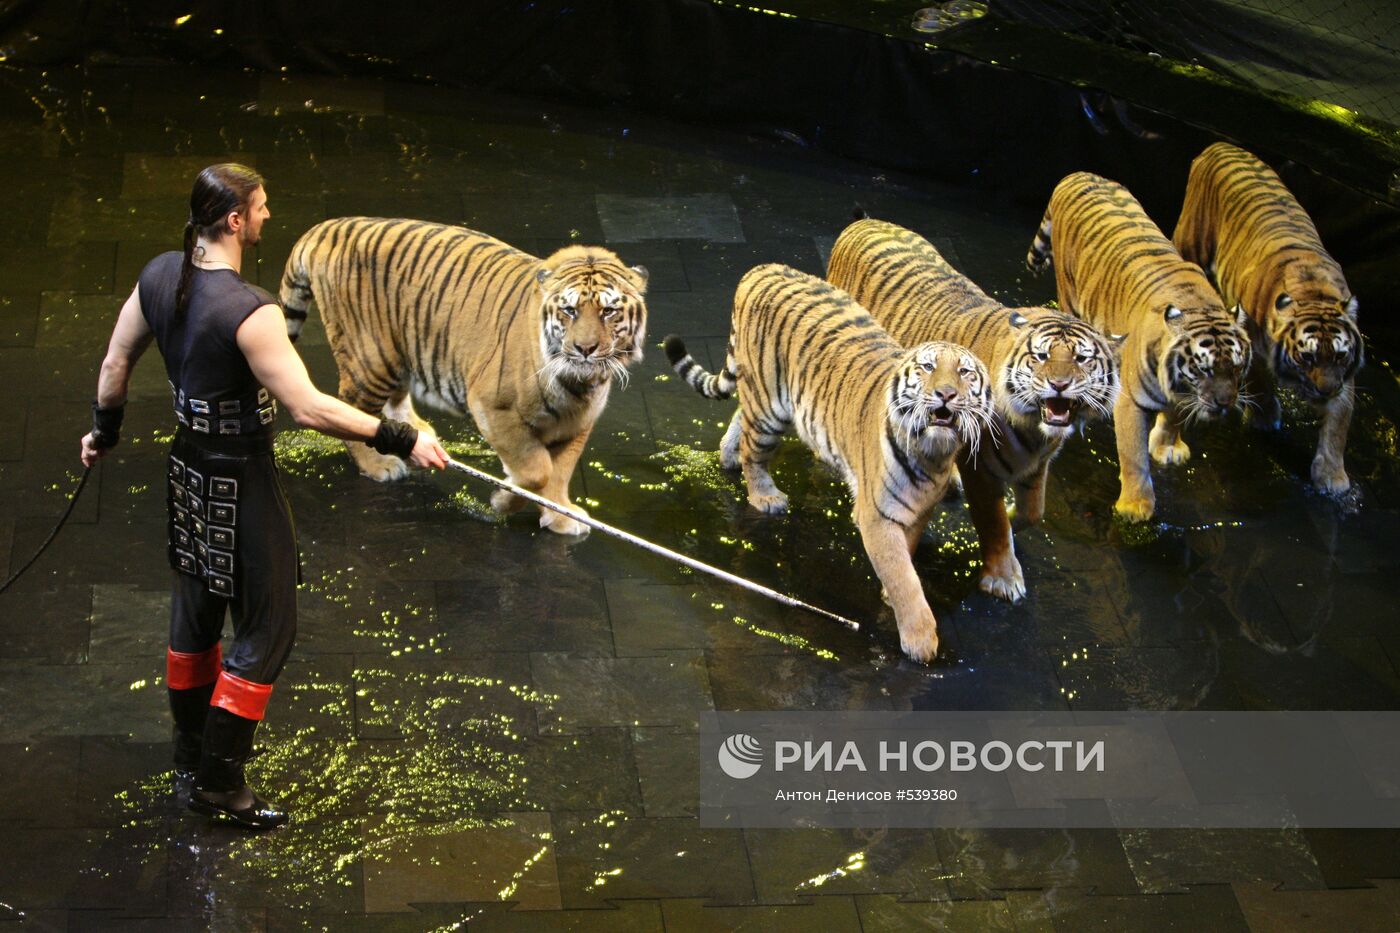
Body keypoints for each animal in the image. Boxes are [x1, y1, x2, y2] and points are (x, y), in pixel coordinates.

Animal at [280, 218, 649, 535]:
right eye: (569, 310)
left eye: (608, 311)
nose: (585, 348)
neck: (578, 385)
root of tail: (329, 226)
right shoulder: (493, 408)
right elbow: (535, 472)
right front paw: (504, 500)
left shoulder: (578, 423)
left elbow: (558, 475)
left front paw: (560, 516)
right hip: (371, 358)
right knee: (352, 406)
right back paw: (378, 464)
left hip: (400, 349)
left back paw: (418, 431)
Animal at [660, 261, 991, 661]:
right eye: (927, 367)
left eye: (965, 372)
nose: (946, 394)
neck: (933, 455)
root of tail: (760, 269)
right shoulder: (877, 515)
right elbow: (902, 574)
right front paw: (920, 639)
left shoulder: (918, 510)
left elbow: (906, 556)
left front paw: (892, 598)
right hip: (770, 404)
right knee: (754, 453)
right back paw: (764, 495)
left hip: (762, 397)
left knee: (741, 416)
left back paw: (726, 456)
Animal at [823, 214, 1120, 599]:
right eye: (1041, 356)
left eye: (1082, 359)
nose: (1060, 384)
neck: (1037, 431)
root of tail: (865, 222)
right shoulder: (981, 467)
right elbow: (993, 521)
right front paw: (1003, 576)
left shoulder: (1037, 463)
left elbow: (1033, 512)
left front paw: (1015, 518)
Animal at [1030, 172, 1248, 523]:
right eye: (1203, 369)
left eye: (1238, 367)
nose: (1225, 403)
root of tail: (1078, 174)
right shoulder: (1131, 400)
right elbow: (1134, 455)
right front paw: (1135, 506)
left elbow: (1174, 416)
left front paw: (1168, 446)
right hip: (1069, 292)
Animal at [1176, 141, 1360, 493]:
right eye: (1307, 358)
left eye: (1340, 356)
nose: (1325, 393)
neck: (1314, 293)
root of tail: (1219, 144)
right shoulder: (1254, 342)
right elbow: (1259, 379)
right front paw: (1265, 419)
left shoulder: (1345, 378)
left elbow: (1339, 425)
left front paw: (1332, 477)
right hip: (1191, 244)